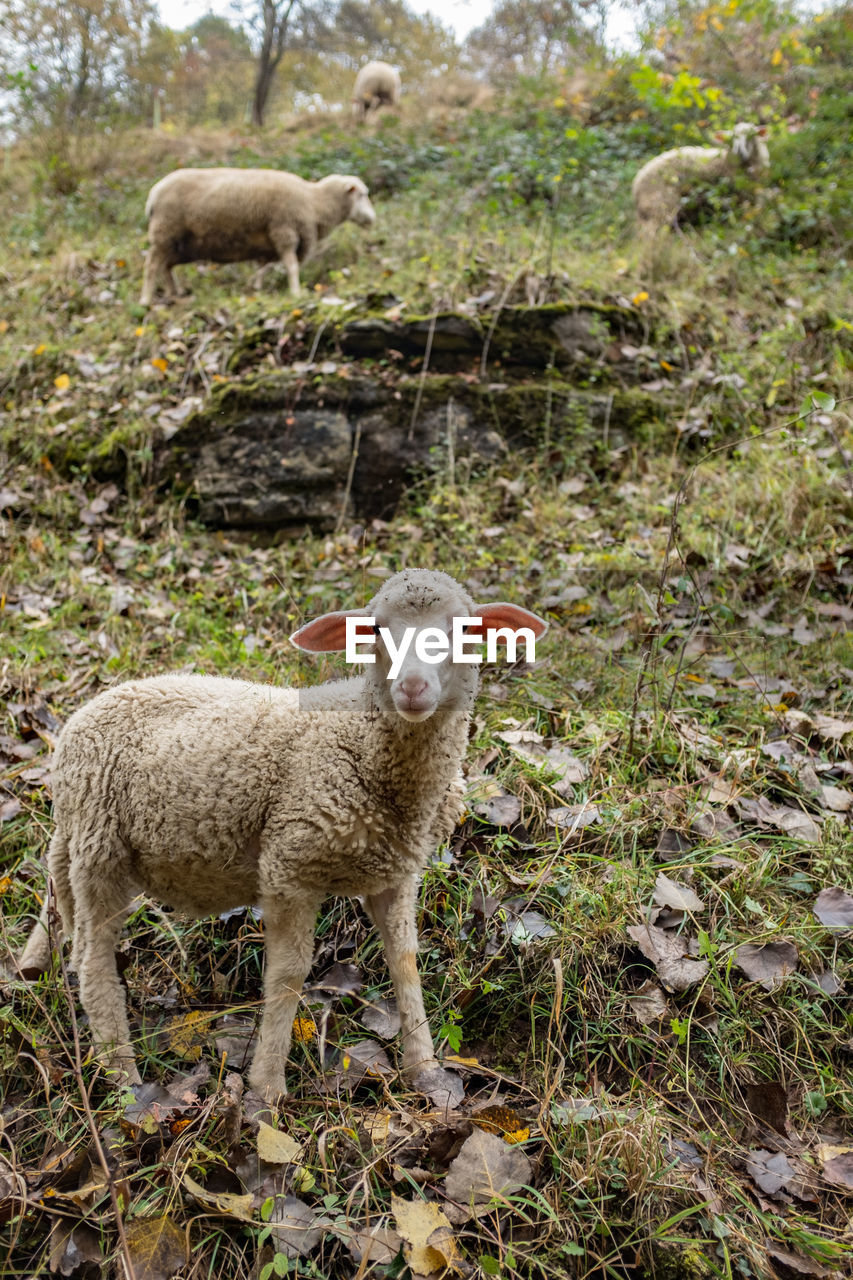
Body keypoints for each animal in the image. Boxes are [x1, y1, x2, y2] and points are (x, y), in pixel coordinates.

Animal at [18, 568, 545, 1100]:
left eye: (464, 629)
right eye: (374, 630)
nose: (413, 687)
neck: (362, 740)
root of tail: (84, 713)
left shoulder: (396, 872)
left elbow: (405, 959)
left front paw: (425, 1069)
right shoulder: (289, 864)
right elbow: (289, 973)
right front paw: (266, 1086)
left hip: (77, 835)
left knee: (54, 882)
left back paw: (33, 964)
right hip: (100, 846)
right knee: (92, 965)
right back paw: (124, 1081)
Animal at [140, 168, 376, 303]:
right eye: (363, 195)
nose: (373, 219)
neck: (315, 202)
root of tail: (153, 194)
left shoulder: (272, 241)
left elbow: (266, 266)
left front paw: (256, 286)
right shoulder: (284, 231)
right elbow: (291, 266)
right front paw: (296, 292)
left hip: (180, 243)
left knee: (166, 265)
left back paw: (173, 293)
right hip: (165, 230)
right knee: (152, 264)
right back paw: (146, 299)